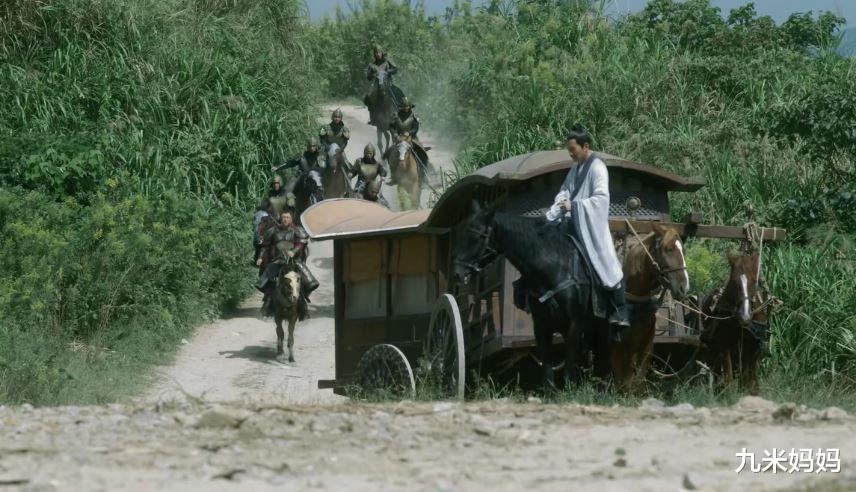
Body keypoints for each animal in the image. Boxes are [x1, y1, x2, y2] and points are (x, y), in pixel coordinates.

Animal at [452, 200, 604, 388]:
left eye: (477, 236)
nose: (457, 273)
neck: (555, 269)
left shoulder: (574, 324)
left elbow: (569, 367)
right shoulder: (541, 326)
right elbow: (547, 372)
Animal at [608, 223, 688, 392]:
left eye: (683, 251)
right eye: (668, 249)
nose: (684, 287)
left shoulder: (646, 345)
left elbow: (638, 380)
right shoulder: (617, 348)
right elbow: (622, 382)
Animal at [700, 252, 764, 394]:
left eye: (754, 281)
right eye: (734, 282)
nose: (745, 316)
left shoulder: (754, 349)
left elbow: (752, 383)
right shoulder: (725, 347)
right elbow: (729, 380)